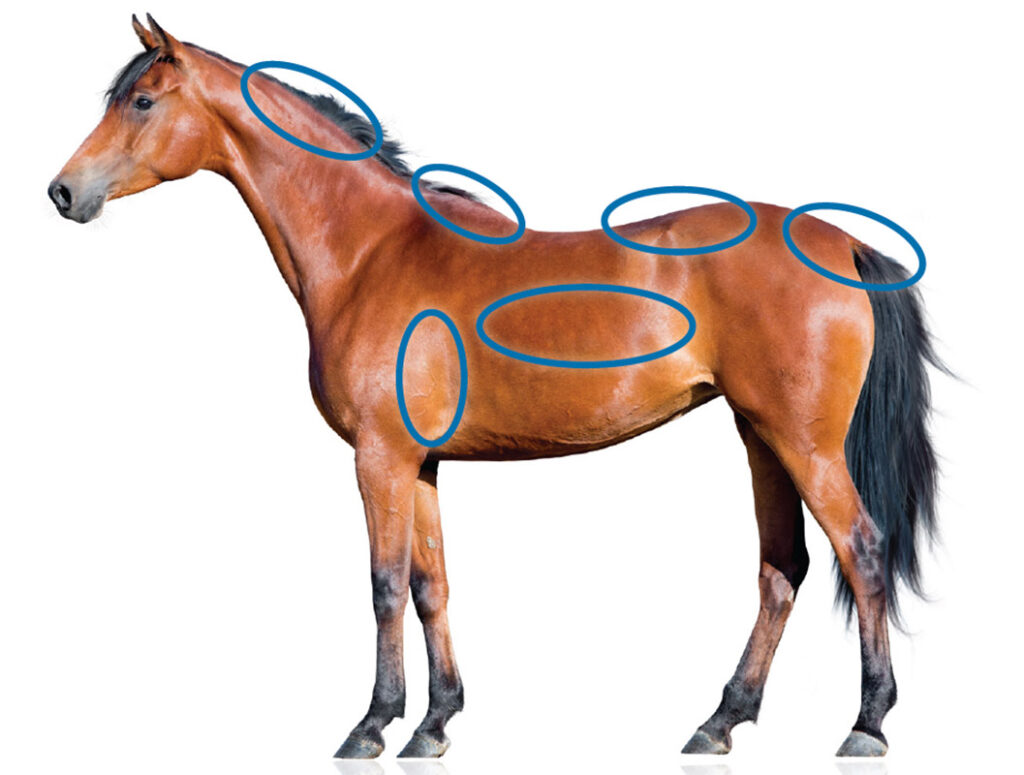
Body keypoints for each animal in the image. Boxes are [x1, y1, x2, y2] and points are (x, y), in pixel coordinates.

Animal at [48, 15, 941, 760]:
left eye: (142, 100)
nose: (63, 191)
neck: (369, 251)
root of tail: (840, 242)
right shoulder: (420, 463)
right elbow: (431, 585)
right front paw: (434, 723)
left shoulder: (379, 457)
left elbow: (383, 585)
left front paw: (372, 724)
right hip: (761, 436)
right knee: (781, 568)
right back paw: (719, 721)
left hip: (804, 442)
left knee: (861, 552)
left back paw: (865, 724)